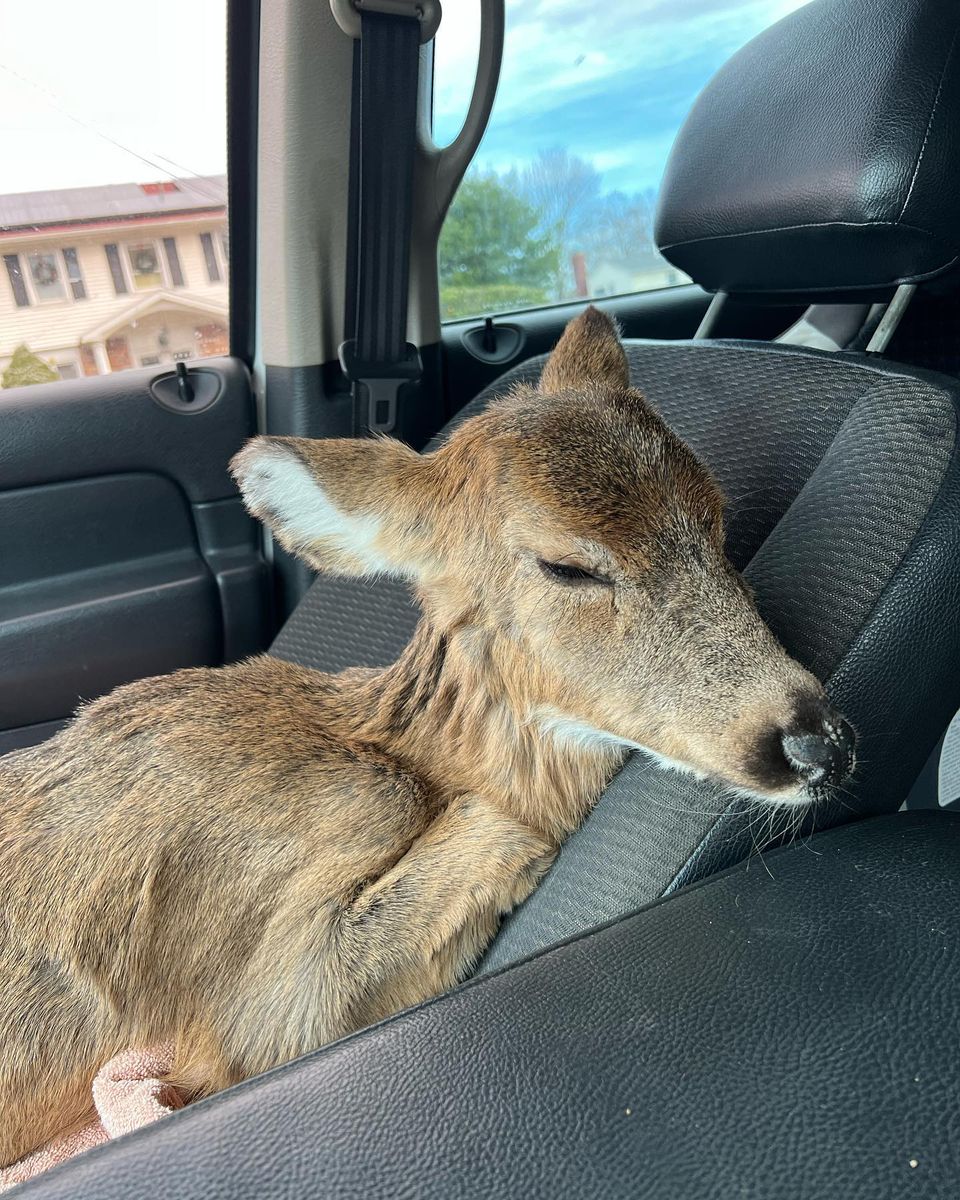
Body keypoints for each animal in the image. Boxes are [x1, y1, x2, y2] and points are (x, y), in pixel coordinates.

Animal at [0, 308, 855, 1166]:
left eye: (716, 515)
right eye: (565, 565)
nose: (818, 742)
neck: (405, 753)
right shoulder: (258, 1002)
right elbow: (493, 833)